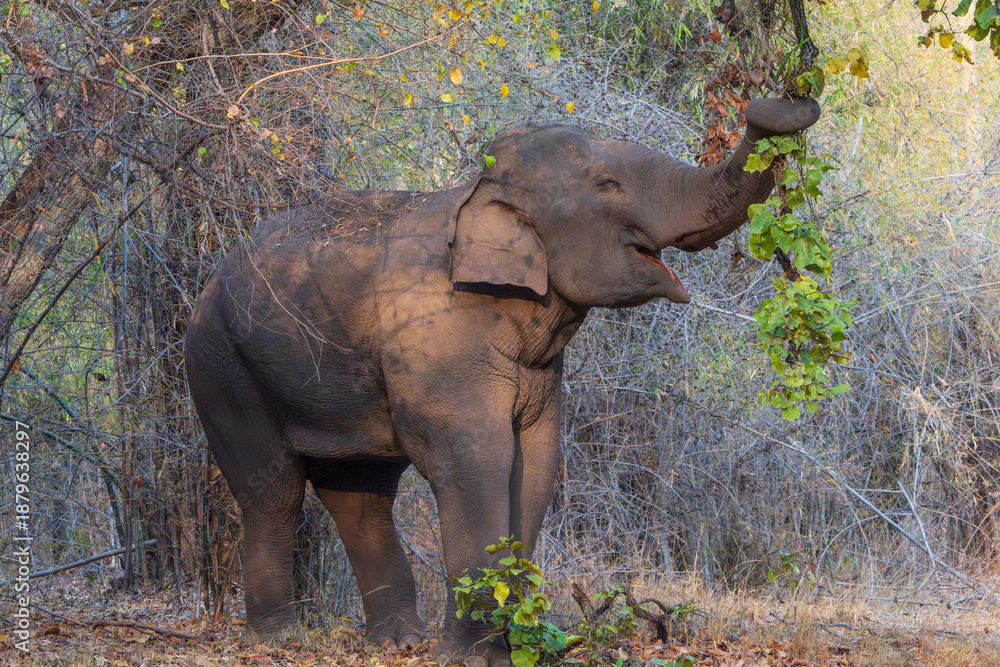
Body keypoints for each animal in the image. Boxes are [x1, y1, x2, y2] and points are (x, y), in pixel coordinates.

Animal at [185, 96, 820, 666]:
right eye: (606, 183)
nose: (785, 102)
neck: (479, 193)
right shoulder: (438, 337)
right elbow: (476, 459)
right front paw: (473, 657)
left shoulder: (540, 368)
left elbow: (535, 464)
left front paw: (509, 647)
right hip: (220, 364)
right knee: (273, 488)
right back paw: (277, 640)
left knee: (360, 492)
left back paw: (399, 644)